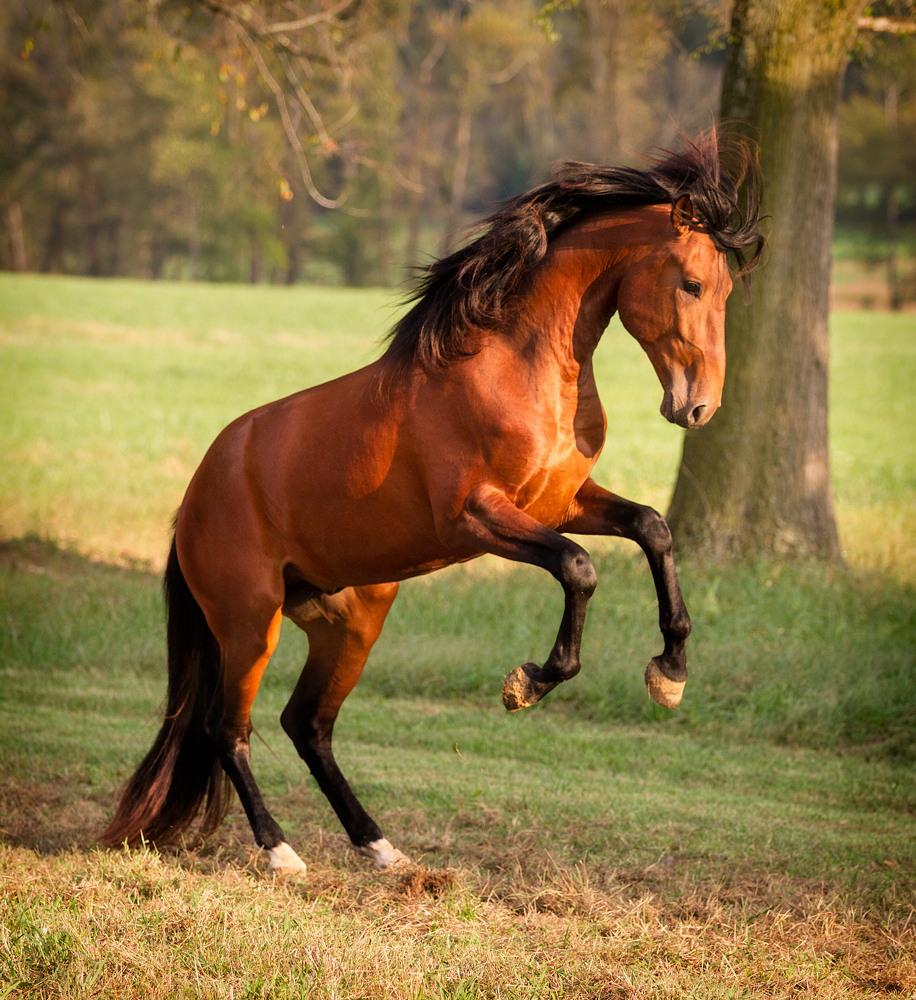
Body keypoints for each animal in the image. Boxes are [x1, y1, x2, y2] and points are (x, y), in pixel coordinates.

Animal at [100, 131, 764, 868]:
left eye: (726, 289)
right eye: (692, 283)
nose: (698, 407)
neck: (513, 366)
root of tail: (194, 498)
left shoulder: (560, 503)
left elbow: (652, 528)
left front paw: (670, 672)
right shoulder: (476, 517)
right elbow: (579, 568)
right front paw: (529, 682)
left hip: (350, 623)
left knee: (307, 725)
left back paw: (379, 847)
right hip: (250, 624)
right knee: (229, 729)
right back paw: (281, 853)